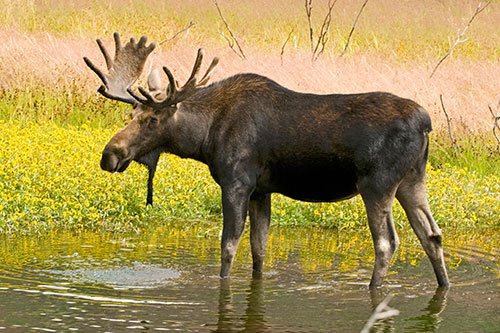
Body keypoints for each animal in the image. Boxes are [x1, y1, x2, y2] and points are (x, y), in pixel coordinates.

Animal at [85, 34, 450, 288]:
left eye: (151, 120)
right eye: (131, 114)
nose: (109, 155)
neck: (203, 138)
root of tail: (425, 123)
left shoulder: (237, 183)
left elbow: (229, 246)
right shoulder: (262, 190)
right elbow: (259, 248)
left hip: (377, 184)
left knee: (387, 242)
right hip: (412, 180)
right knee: (431, 234)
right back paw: (443, 286)